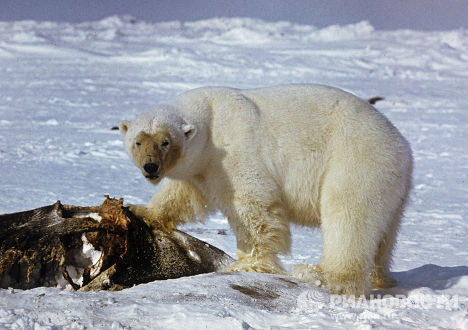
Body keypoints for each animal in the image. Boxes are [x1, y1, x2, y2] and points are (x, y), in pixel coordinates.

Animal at [120, 85, 414, 296]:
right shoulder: (200, 167)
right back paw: (381, 278)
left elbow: (252, 203)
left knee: (348, 218)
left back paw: (320, 276)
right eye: (138, 141)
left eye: (165, 142)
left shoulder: (234, 151)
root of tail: (403, 148)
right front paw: (139, 209)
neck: (212, 119)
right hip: (391, 185)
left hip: (357, 161)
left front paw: (249, 263)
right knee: (384, 233)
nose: (150, 167)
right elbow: (182, 195)